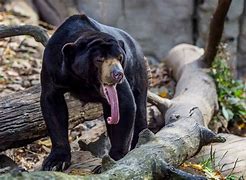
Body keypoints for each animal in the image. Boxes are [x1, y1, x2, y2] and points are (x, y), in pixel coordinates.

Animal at [40, 14, 148, 171]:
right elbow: (52, 105)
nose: (118, 74)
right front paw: (55, 162)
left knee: (139, 109)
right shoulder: (52, 66)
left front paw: (111, 161)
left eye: (120, 57)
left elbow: (124, 103)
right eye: (99, 59)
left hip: (137, 71)